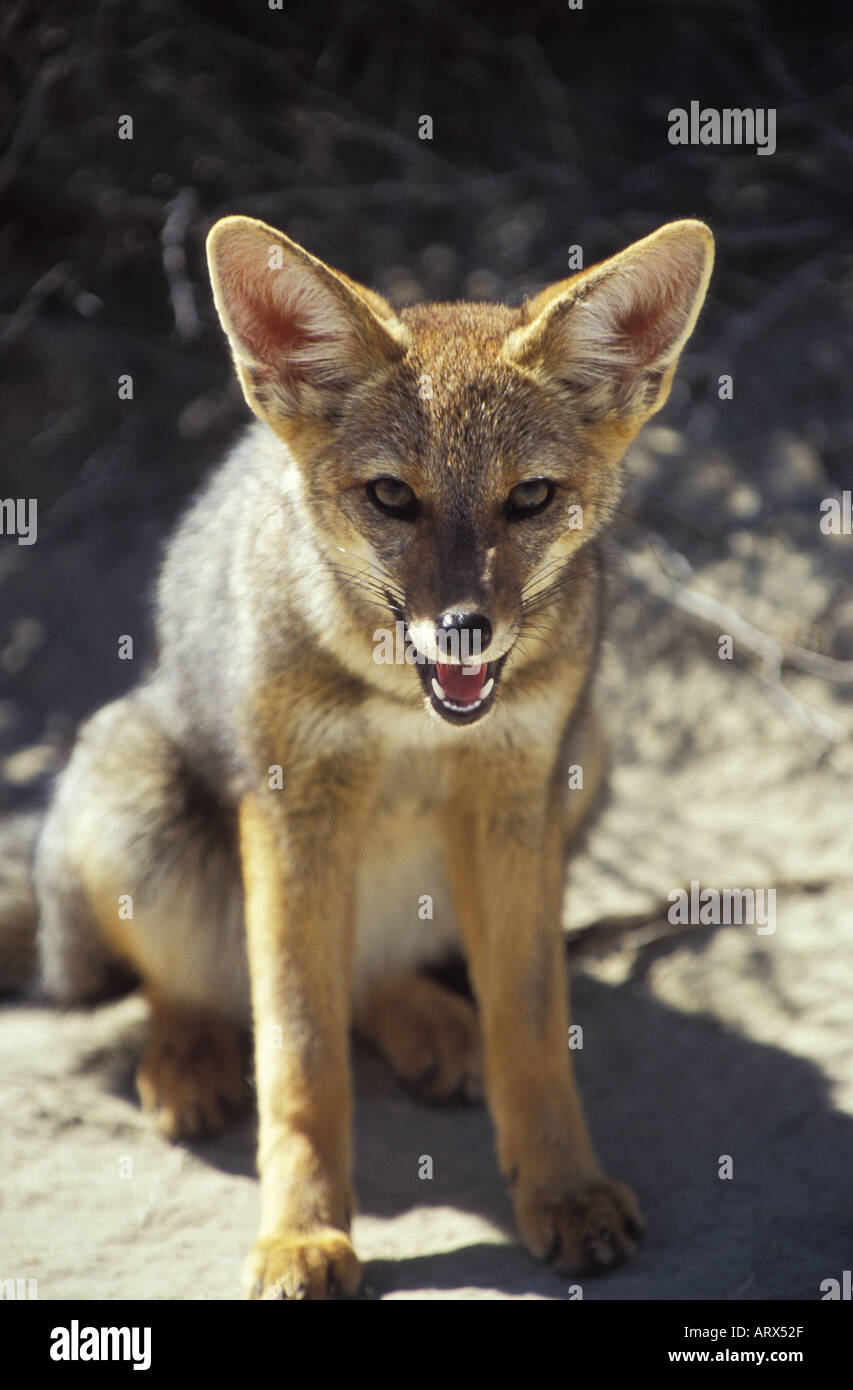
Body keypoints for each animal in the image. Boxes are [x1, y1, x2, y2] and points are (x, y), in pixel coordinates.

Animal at [15, 213, 713, 1299]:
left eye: (530, 498)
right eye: (391, 497)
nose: (464, 630)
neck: (406, 715)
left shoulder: (514, 798)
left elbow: (529, 1026)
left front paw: (562, 1190)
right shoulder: (293, 806)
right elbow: (300, 1053)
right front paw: (301, 1235)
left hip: (582, 763)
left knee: (375, 974)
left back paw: (430, 1026)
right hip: (141, 800)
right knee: (195, 986)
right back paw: (188, 1060)